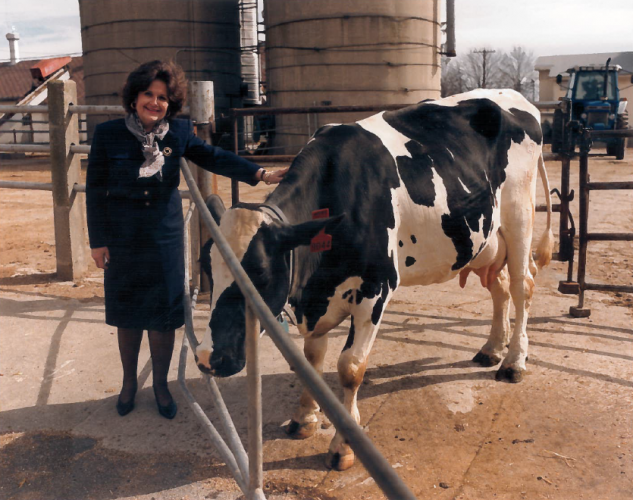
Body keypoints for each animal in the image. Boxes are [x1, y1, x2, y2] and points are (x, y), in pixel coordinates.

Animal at [198, 91, 552, 472]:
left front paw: (343, 446)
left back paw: (513, 362)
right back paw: (492, 349)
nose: (207, 358)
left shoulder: (375, 290)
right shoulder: (320, 297)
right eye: (207, 268)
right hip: (486, 240)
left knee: (521, 286)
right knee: (499, 288)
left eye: (260, 273)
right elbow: (310, 360)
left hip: (519, 218)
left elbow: (350, 368)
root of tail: (511, 96)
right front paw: (305, 418)